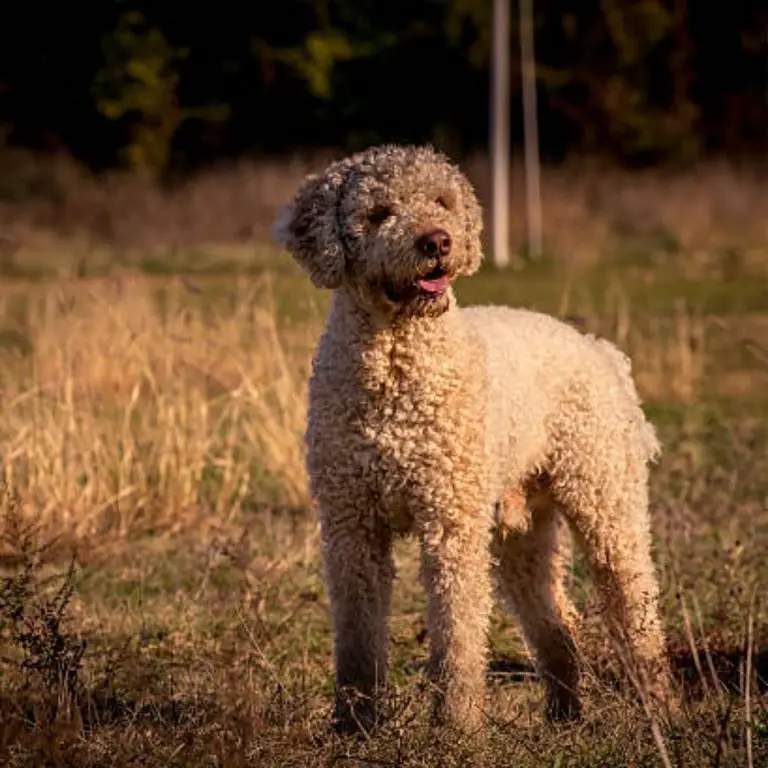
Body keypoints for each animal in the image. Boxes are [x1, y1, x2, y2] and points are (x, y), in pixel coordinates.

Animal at [276, 142, 672, 732]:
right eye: (379, 213)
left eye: (442, 201)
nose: (437, 241)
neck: (397, 367)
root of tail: (600, 350)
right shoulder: (351, 524)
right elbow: (357, 636)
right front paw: (355, 722)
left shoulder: (450, 521)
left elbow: (458, 633)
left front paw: (456, 726)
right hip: (520, 531)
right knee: (556, 620)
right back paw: (563, 714)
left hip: (605, 503)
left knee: (636, 607)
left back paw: (662, 710)